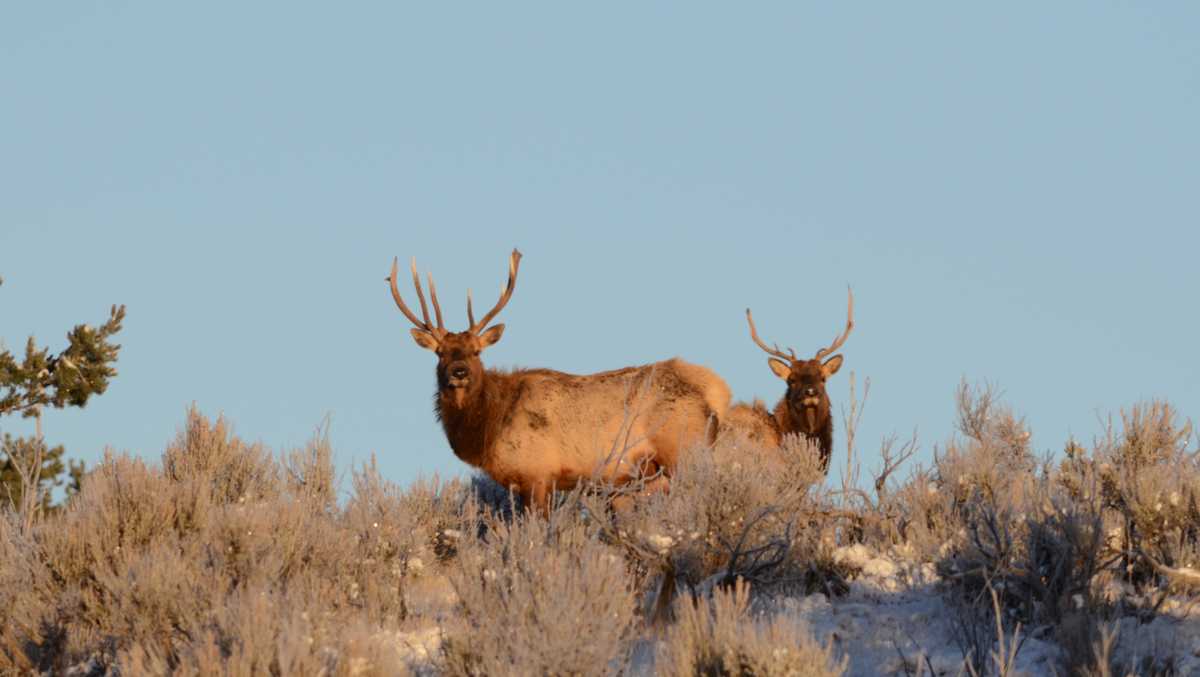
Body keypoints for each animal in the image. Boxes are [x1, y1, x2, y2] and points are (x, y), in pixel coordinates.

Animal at [391, 249, 729, 513]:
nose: (458, 371)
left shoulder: (539, 474)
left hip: (685, 452)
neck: (491, 426)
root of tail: (717, 393)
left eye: (477, 352)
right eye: (440, 353)